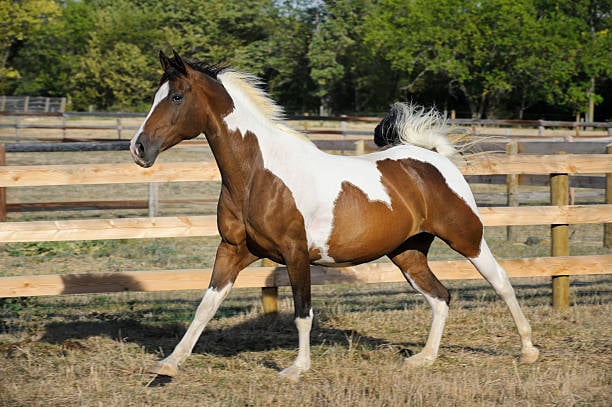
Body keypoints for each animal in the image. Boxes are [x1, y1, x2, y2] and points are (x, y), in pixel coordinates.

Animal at [130, 51, 540, 382]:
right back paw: (423, 359)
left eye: (177, 96)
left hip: (467, 238)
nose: (139, 148)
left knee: (501, 282)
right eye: (154, 97)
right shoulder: (232, 250)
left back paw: (528, 350)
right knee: (440, 296)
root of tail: (433, 159)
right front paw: (169, 364)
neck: (259, 174)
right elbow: (206, 306)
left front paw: (297, 369)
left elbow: (303, 311)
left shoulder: (295, 254)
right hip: (408, 254)